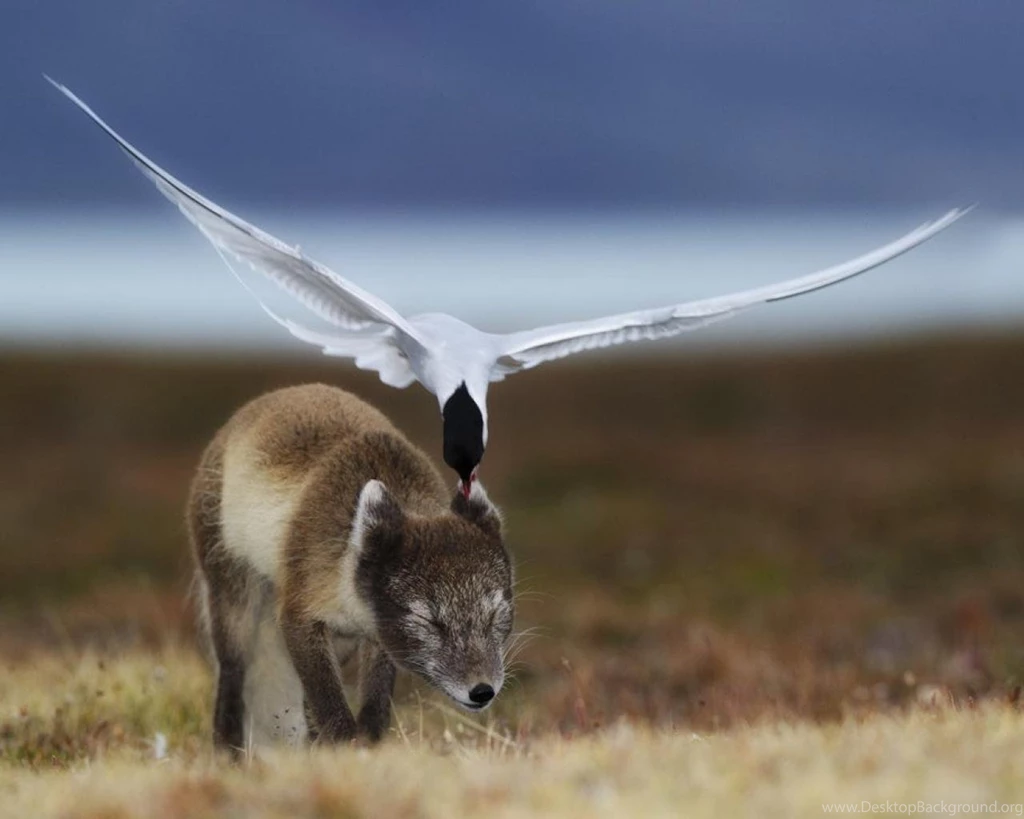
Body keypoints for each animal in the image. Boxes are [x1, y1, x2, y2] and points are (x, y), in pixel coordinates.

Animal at [187, 383, 514, 753]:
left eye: (495, 613)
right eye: (429, 620)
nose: (483, 691)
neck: (350, 593)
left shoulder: (376, 638)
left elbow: (372, 707)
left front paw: (366, 749)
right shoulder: (298, 615)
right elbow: (332, 708)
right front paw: (346, 751)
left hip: (340, 646)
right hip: (233, 599)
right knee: (232, 673)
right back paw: (229, 750)